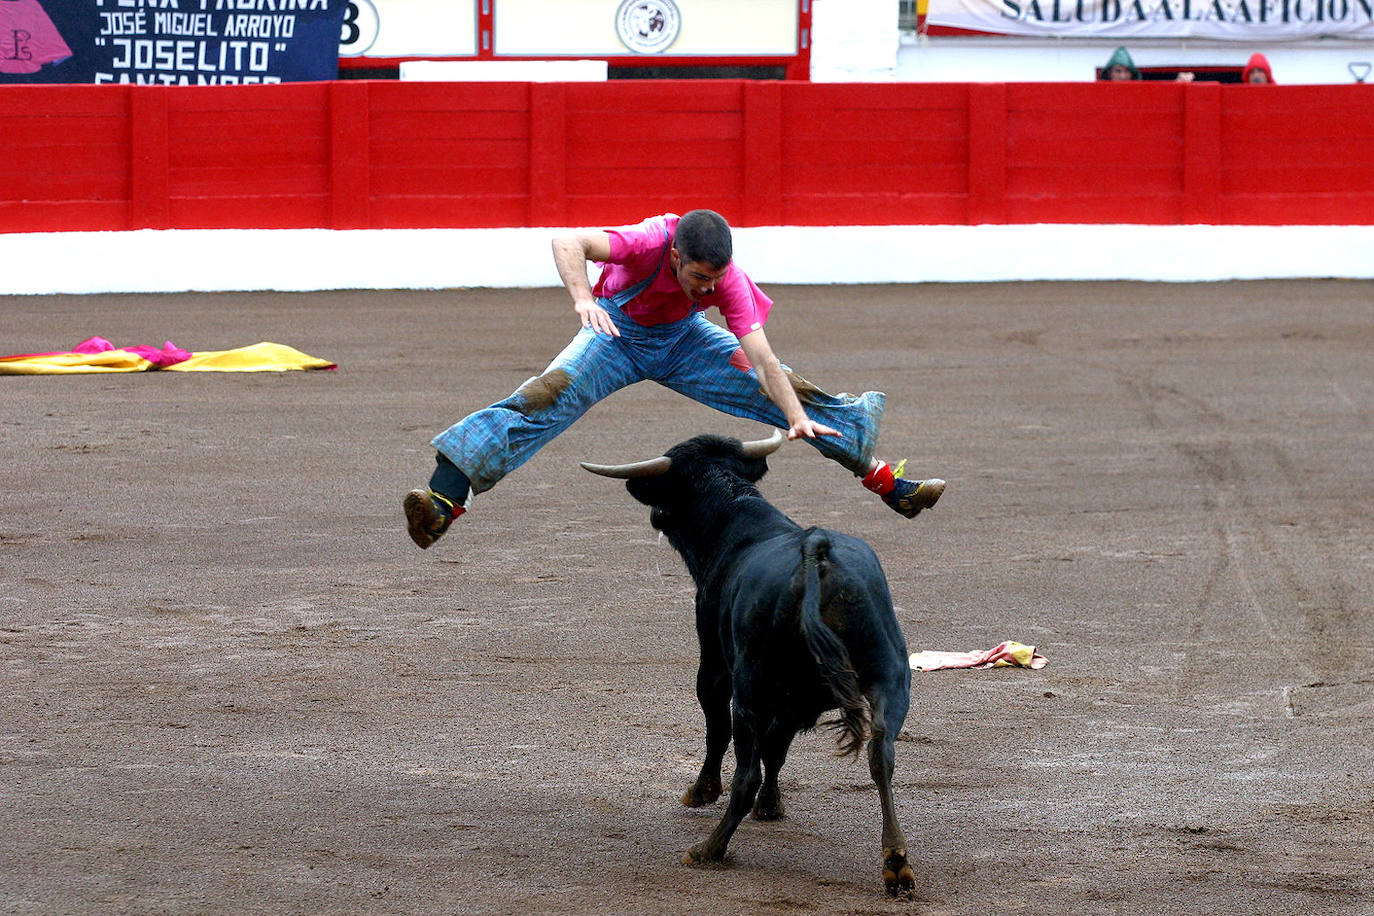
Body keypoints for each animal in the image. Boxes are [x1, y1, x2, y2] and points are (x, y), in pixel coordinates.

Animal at [579, 433, 912, 900]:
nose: (655, 516)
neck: (738, 520)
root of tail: (816, 554)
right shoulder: (792, 704)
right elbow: (779, 748)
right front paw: (771, 806)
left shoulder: (716, 665)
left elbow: (718, 728)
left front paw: (701, 792)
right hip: (891, 678)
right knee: (881, 757)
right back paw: (896, 863)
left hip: (751, 687)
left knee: (745, 772)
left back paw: (709, 849)